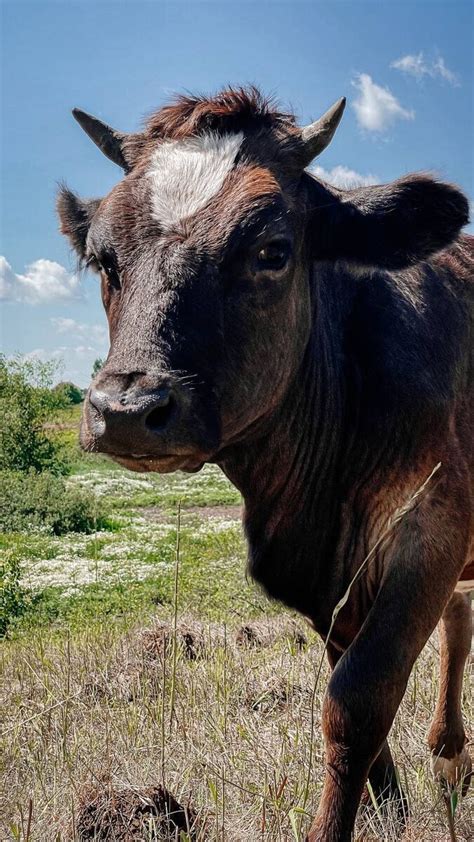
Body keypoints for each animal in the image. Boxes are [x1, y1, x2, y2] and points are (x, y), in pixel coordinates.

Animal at [57, 88, 472, 836]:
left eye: (272, 251)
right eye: (105, 260)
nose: (126, 407)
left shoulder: (434, 525)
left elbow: (358, 697)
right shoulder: (328, 579)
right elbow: (349, 681)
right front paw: (390, 810)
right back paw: (450, 753)